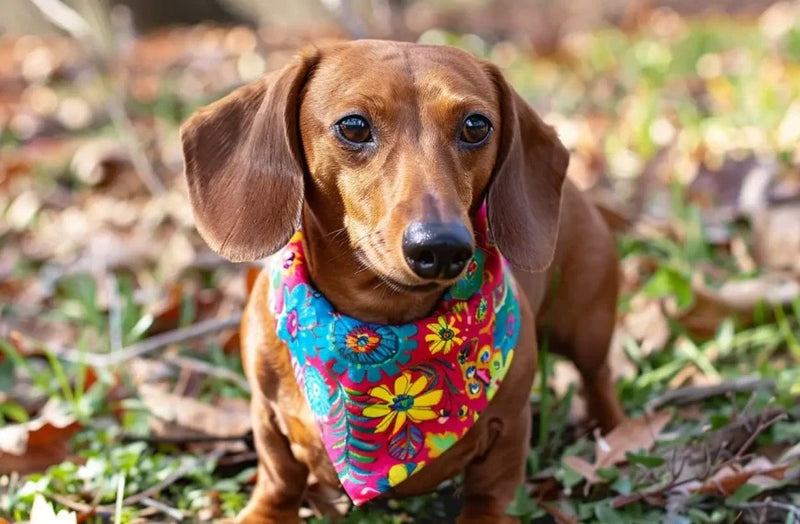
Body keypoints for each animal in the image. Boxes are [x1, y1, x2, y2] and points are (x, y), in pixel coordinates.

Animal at [181, 39, 624, 520]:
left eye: (476, 126)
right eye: (354, 126)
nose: (442, 247)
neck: (375, 330)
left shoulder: (510, 426)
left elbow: (494, 487)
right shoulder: (265, 414)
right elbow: (278, 475)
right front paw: (267, 511)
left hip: (586, 329)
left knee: (598, 375)